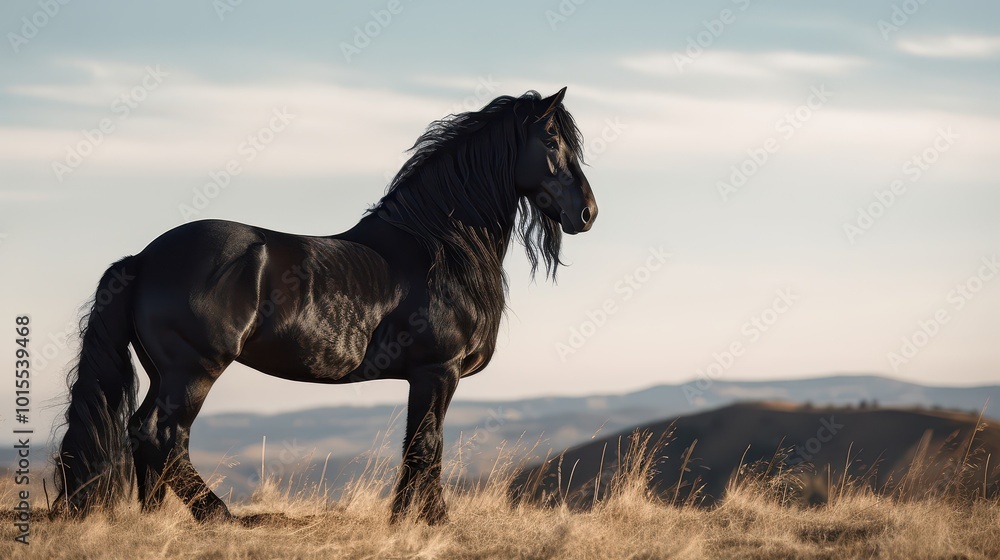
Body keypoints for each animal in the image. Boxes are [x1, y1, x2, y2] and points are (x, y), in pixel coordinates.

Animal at [53, 87, 597, 524]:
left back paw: (156, 520)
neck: (437, 247)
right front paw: (429, 521)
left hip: (163, 370)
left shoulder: (427, 377)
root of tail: (144, 258)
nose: (588, 213)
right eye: (552, 141)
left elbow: (418, 446)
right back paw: (219, 516)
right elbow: (427, 445)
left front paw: (407, 519)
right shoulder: (436, 371)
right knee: (160, 435)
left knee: (147, 437)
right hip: (193, 369)